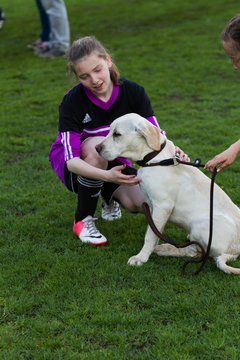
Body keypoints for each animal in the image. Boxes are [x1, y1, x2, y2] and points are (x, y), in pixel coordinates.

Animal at [96, 114, 240, 274]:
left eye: (117, 134)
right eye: (109, 131)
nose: (96, 148)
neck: (154, 159)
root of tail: (235, 250)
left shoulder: (162, 206)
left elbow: (150, 235)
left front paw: (141, 257)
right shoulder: (152, 206)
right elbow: (154, 230)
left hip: (203, 224)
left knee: (195, 252)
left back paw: (165, 249)